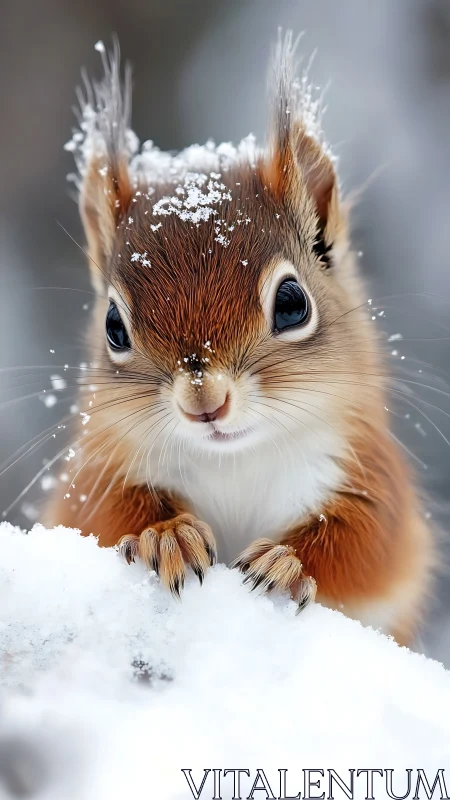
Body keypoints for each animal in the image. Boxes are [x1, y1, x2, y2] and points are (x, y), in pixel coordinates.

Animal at [45, 34, 435, 647]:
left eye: (293, 303)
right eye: (113, 326)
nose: (204, 401)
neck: (235, 460)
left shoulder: (372, 481)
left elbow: (364, 545)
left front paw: (286, 562)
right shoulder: (93, 476)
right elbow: (106, 514)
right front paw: (168, 535)